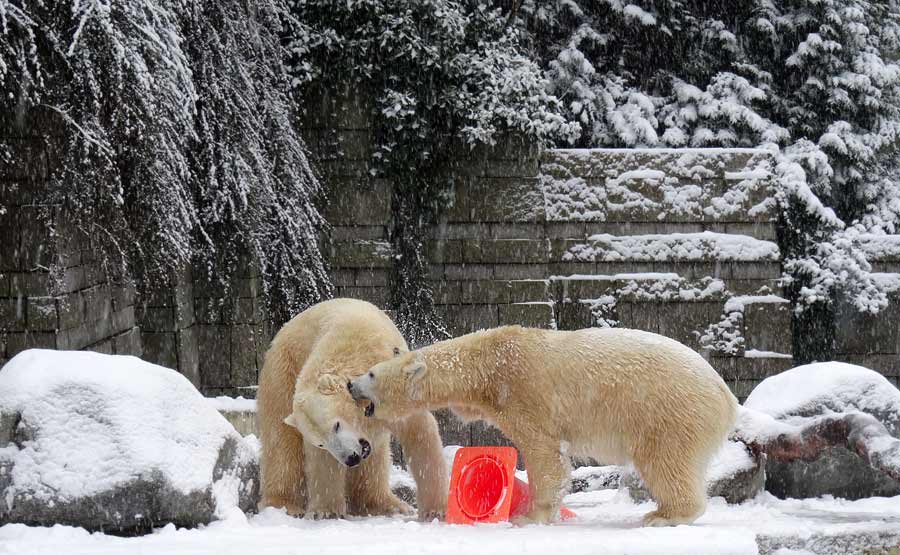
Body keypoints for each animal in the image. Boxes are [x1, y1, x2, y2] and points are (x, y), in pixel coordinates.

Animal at [256, 300, 446, 520]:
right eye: (321, 443)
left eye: (337, 425)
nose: (351, 458)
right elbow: (323, 462)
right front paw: (326, 512)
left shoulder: (391, 390)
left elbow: (418, 431)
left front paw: (435, 511)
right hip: (284, 371)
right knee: (280, 438)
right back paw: (283, 504)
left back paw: (387, 505)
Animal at [348, 326, 736, 524]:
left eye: (371, 373)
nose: (350, 384)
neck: (489, 365)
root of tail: (726, 396)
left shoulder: (524, 390)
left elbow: (544, 452)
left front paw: (531, 515)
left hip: (668, 413)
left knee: (666, 463)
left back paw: (664, 514)